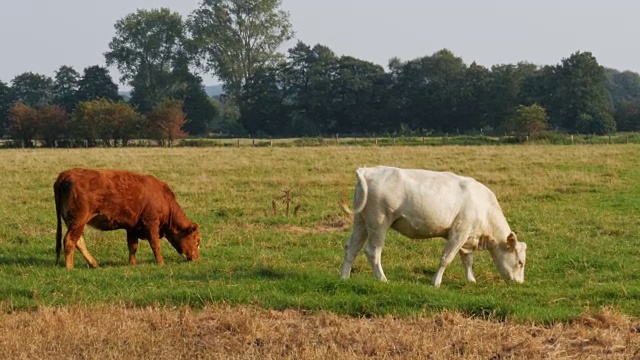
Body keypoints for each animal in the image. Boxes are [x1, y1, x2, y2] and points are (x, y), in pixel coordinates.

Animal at [54, 168, 201, 268]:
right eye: (197, 241)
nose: (196, 258)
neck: (164, 198)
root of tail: (66, 174)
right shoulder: (151, 223)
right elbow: (155, 245)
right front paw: (160, 262)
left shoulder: (132, 227)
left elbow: (132, 246)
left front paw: (132, 263)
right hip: (78, 221)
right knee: (69, 241)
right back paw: (70, 267)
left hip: (74, 223)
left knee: (78, 241)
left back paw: (94, 264)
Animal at [340, 166, 524, 286]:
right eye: (520, 262)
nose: (520, 282)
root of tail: (367, 170)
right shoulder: (458, 233)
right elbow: (446, 258)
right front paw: (436, 282)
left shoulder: (467, 237)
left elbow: (467, 260)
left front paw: (471, 280)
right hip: (378, 223)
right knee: (373, 251)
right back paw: (383, 279)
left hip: (361, 222)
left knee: (352, 248)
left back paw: (344, 277)